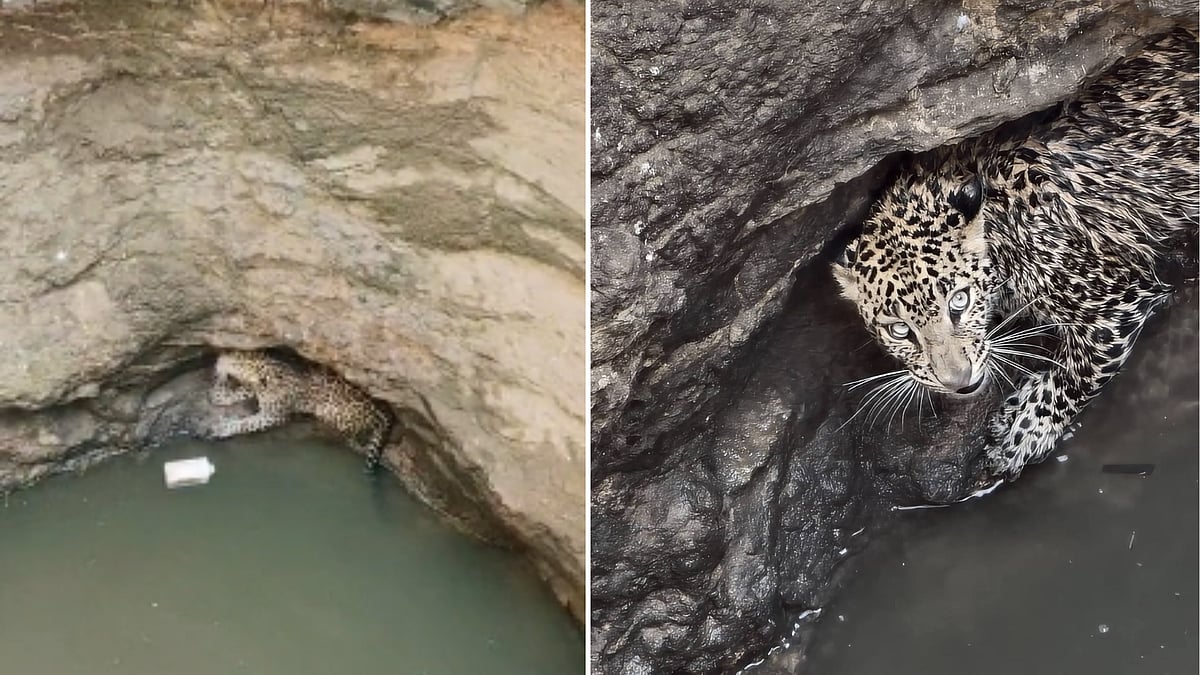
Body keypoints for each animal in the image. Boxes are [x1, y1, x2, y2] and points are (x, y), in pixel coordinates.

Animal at [207, 349, 396, 472]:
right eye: (234, 354)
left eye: (236, 361)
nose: (220, 357)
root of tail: (383, 409)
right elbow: (226, 395)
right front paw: (220, 387)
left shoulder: (274, 416)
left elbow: (245, 423)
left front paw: (222, 428)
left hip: (330, 411)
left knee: (349, 436)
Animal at [831, 27, 1198, 483]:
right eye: (900, 330)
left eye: (960, 301)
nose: (958, 382)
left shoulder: (1114, 303)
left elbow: (1077, 372)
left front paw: (1020, 434)